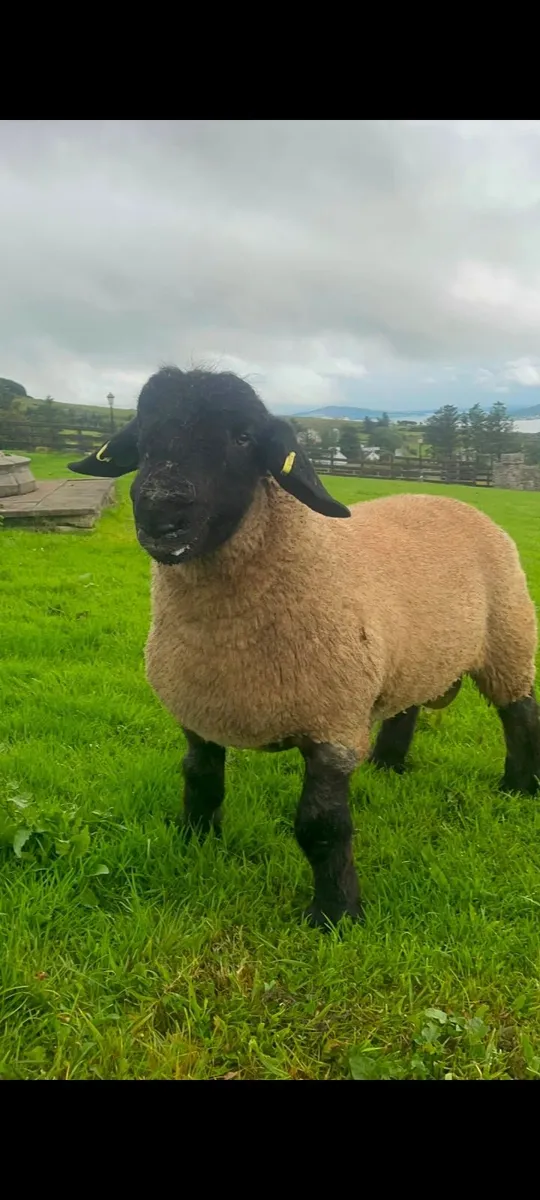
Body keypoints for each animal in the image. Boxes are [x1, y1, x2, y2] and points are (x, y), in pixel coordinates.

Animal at [69, 367, 540, 929]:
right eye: (141, 438)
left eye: (243, 437)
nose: (161, 512)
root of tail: (455, 500)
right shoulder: (199, 711)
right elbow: (199, 782)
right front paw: (194, 845)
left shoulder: (331, 723)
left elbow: (321, 826)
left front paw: (336, 913)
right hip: (410, 655)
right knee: (405, 707)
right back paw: (387, 765)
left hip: (509, 637)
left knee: (519, 714)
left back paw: (519, 786)